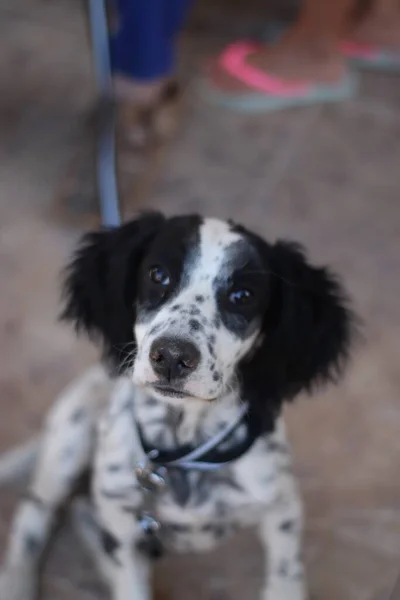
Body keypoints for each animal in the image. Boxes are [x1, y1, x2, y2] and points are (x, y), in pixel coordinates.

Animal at [0, 212, 354, 600]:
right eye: (158, 275)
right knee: (34, 515)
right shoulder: (122, 520)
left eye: (242, 295)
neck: (183, 449)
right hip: (70, 439)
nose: (171, 356)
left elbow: (285, 577)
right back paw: (16, 583)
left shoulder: (282, 507)